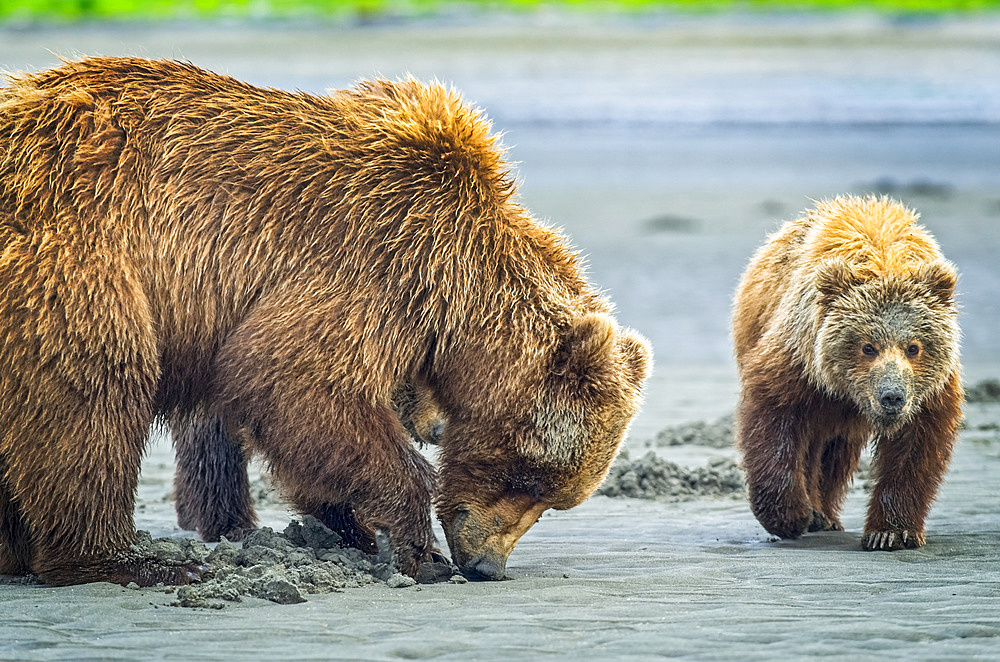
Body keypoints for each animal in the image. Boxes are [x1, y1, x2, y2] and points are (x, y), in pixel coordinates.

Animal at [0, 58, 652, 588]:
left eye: (556, 497)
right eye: (531, 478)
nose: (487, 565)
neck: (461, 281)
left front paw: (349, 527)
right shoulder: (377, 259)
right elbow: (296, 380)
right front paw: (416, 549)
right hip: (75, 263)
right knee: (92, 397)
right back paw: (125, 560)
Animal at [736, 196, 960, 548]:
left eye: (913, 347)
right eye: (868, 347)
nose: (892, 396)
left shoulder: (930, 392)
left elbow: (915, 448)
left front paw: (890, 532)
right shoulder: (801, 359)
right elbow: (773, 419)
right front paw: (789, 515)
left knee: (835, 452)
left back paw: (826, 514)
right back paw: (816, 514)